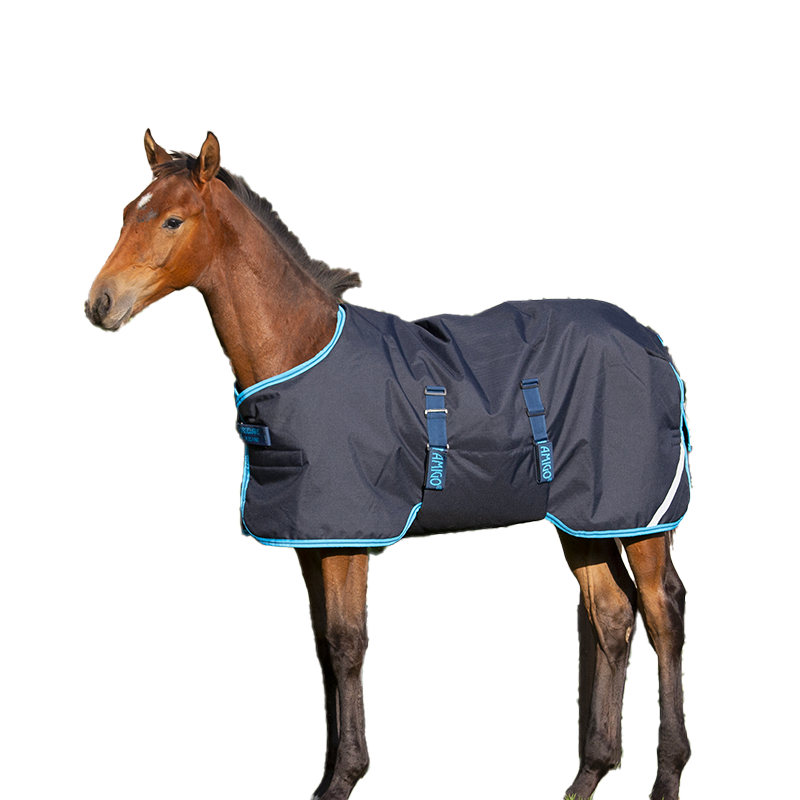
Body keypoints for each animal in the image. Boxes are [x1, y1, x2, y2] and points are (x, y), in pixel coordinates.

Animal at [86, 129, 692, 800]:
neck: (299, 350)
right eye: (126, 213)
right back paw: (589, 775)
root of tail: (651, 343)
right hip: (585, 520)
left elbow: (349, 643)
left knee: (663, 613)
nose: (100, 304)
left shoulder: (351, 538)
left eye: (172, 219)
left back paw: (667, 774)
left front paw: (345, 777)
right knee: (611, 616)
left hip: (638, 517)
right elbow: (323, 646)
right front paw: (330, 774)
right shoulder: (315, 540)